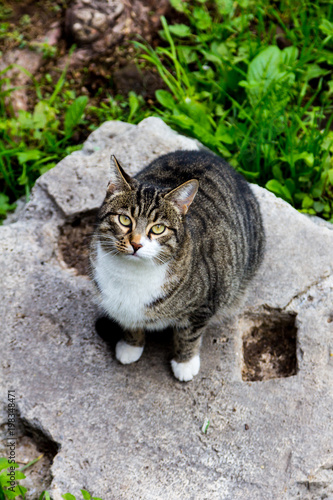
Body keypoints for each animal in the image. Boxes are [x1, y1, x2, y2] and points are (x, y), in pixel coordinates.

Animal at [89, 150, 264, 380]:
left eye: (158, 228)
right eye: (125, 220)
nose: (136, 244)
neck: (131, 274)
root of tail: (209, 154)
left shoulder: (203, 304)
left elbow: (188, 335)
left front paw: (185, 363)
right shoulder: (117, 303)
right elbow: (129, 324)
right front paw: (130, 346)